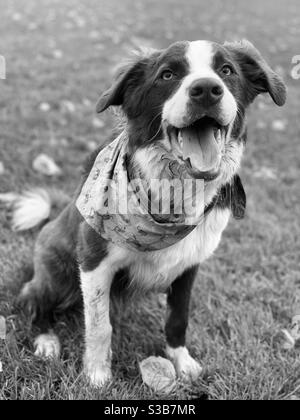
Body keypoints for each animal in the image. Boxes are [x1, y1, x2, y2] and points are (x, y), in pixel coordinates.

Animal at [9, 39, 286, 388]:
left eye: (227, 71)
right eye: (167, 74)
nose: (207, 90)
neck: (174, 197)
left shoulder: (189, 265)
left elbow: (178, 318)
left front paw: (181, 361)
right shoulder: (93, 261)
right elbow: (99, 326)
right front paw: (97, 375)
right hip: (58, 272)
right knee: (33, 299)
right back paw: (46, 340)